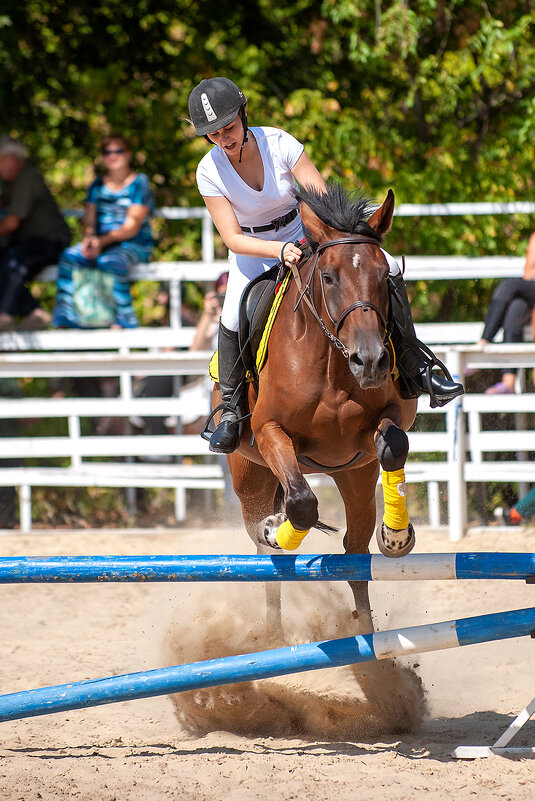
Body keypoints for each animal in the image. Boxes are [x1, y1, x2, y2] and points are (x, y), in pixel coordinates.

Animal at [214, 183, 418, 636]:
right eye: (328, 277)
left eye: (386, 277)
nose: (371, 361)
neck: (332, 364)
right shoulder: (270, 433)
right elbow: (303, 504)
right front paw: (277, 531)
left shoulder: (382, 424)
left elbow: (394, 444)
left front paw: (397, 536)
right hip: (250, 478)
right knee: (266, 559)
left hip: (354, 474)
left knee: (355, 554)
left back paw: (368, 638)